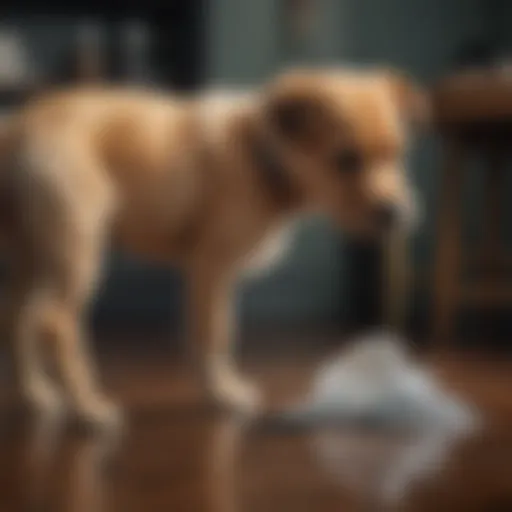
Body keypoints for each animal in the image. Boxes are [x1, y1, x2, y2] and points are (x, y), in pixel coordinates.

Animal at [0, 69, 428, 428]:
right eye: (345, 160)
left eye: (397, 153)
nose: (395, 214)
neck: (262, 156)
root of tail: (19, 127)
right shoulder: (211, 268)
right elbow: (216, 334)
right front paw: (224, 395)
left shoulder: (209, 276)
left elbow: (208, 332)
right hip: (77, 247)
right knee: (54, 323)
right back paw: (88, 409)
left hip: (30, 256)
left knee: (17, 319)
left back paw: (38, 397)